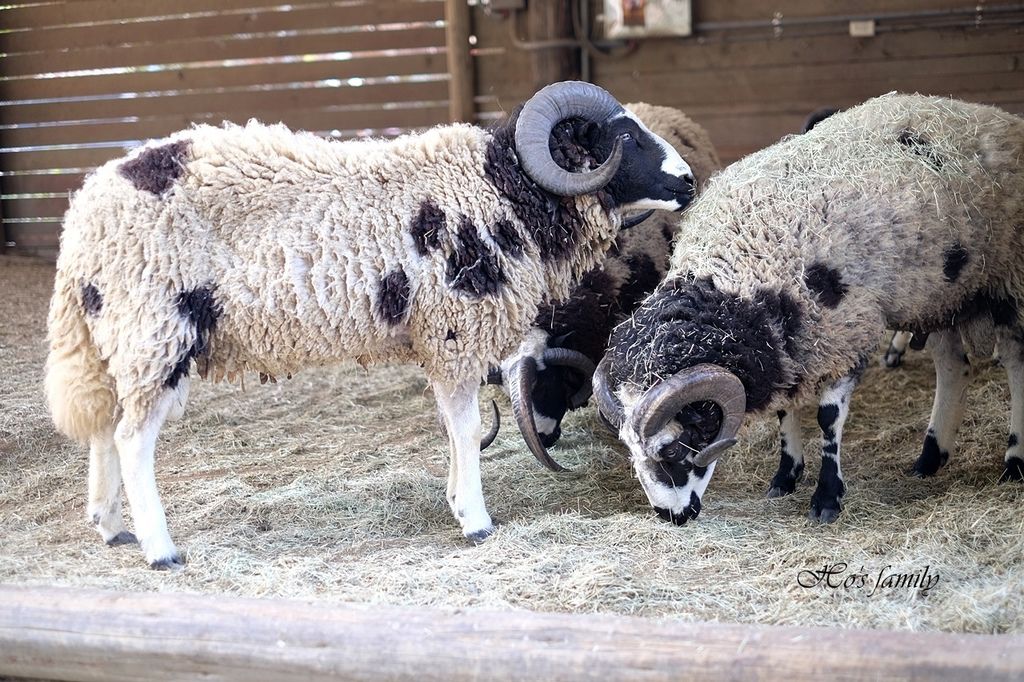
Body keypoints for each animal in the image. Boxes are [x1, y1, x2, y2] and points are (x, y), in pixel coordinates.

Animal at [44, 80, 692, 569]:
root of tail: (82, 222)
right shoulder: (455, 331)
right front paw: (476, 521)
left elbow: (452, 427)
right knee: (132, 440)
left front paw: (456, 501)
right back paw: (160, 550)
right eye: (622, 137)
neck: (502, 189)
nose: (687, 181)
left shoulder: (436, 338)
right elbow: (466, 428)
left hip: (119, 337)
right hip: (156, 330)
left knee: (104, 425)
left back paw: (110, 526)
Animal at [593, 93, 1024, 522]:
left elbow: (828, 417)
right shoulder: (789, 344)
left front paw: (827, 497)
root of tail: (996, 117)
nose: (672, 517)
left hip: (1008, 280)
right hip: (937, 292)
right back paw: (930, 458)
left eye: (670, 448)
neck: (741, 273)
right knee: (954, 366)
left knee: (1015, 361)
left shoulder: (847, 330)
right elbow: (786, 412)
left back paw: (1014, 463)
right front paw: (785, 477)